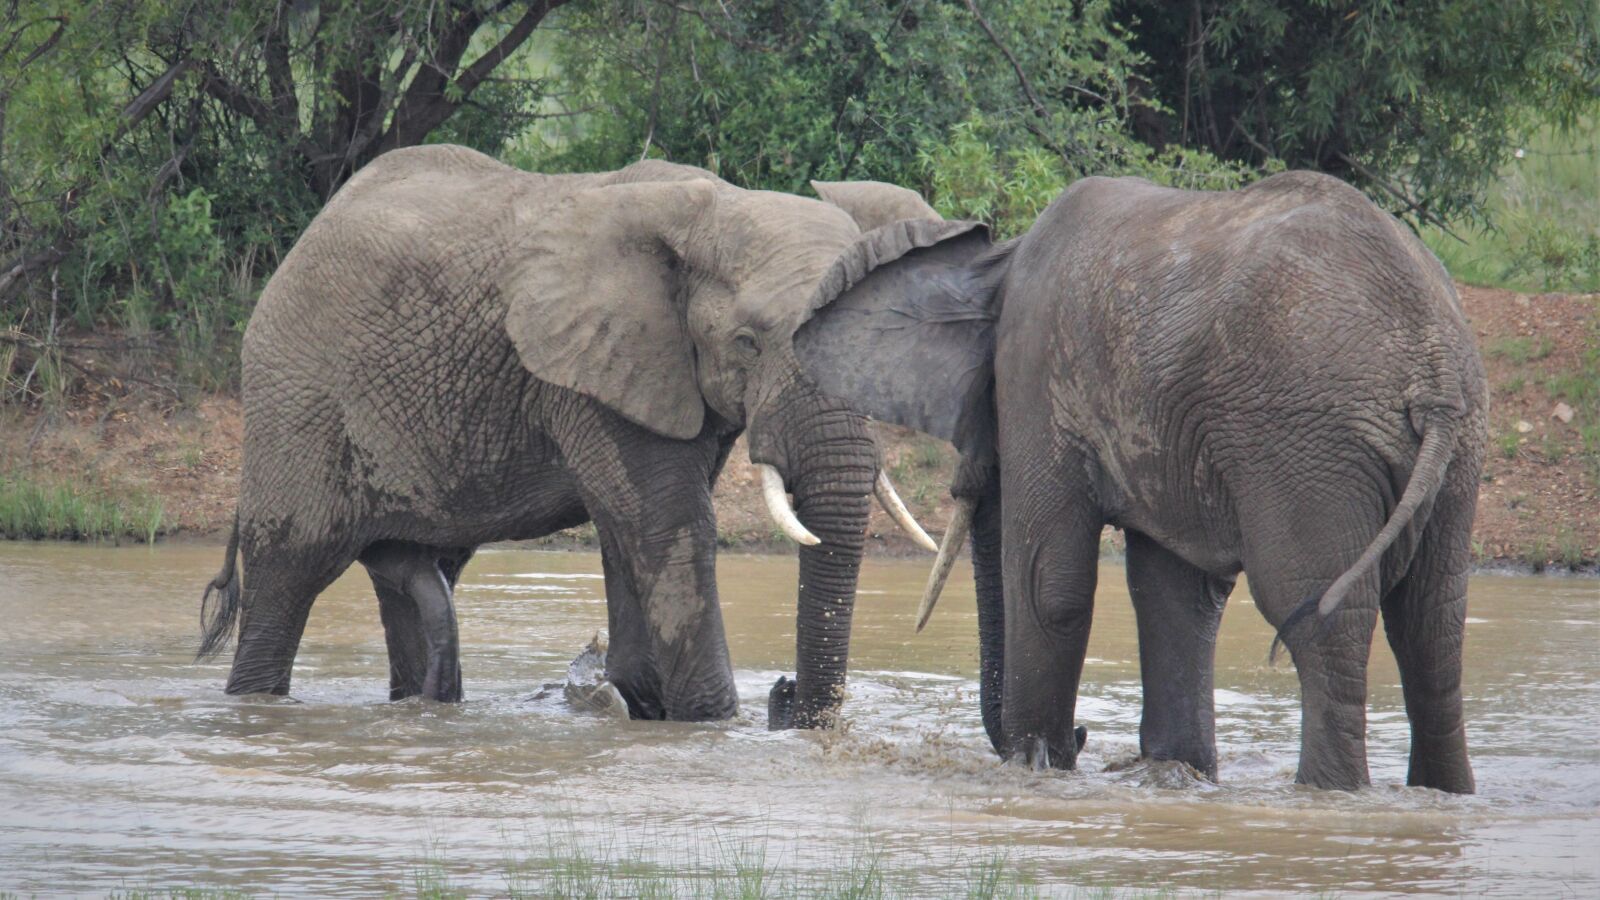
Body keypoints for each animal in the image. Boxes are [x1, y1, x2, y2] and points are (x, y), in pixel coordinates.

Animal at [195, 145, 936, 724]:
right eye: (748, 343)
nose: (786, 693)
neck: (714, 207)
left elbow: (631, 532)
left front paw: (645, 704)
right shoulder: (587, 369)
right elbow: (671, 526)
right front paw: (712, 725)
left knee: (420, 572)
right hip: (297, 393)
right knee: (288, 575)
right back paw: (256, 702)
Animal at [796, 172, 1486, 792]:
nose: (1080, 738)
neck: (1000, 260)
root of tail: (1434, 372)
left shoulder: (1038, 371)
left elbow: (1048, 580)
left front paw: (1036, 768)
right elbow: (1175, 592)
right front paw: (1172, 774)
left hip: (1308, 440)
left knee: (1318, 612)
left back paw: (1329, 794)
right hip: (1456, 451)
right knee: (1431, 624)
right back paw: (1442, 793)